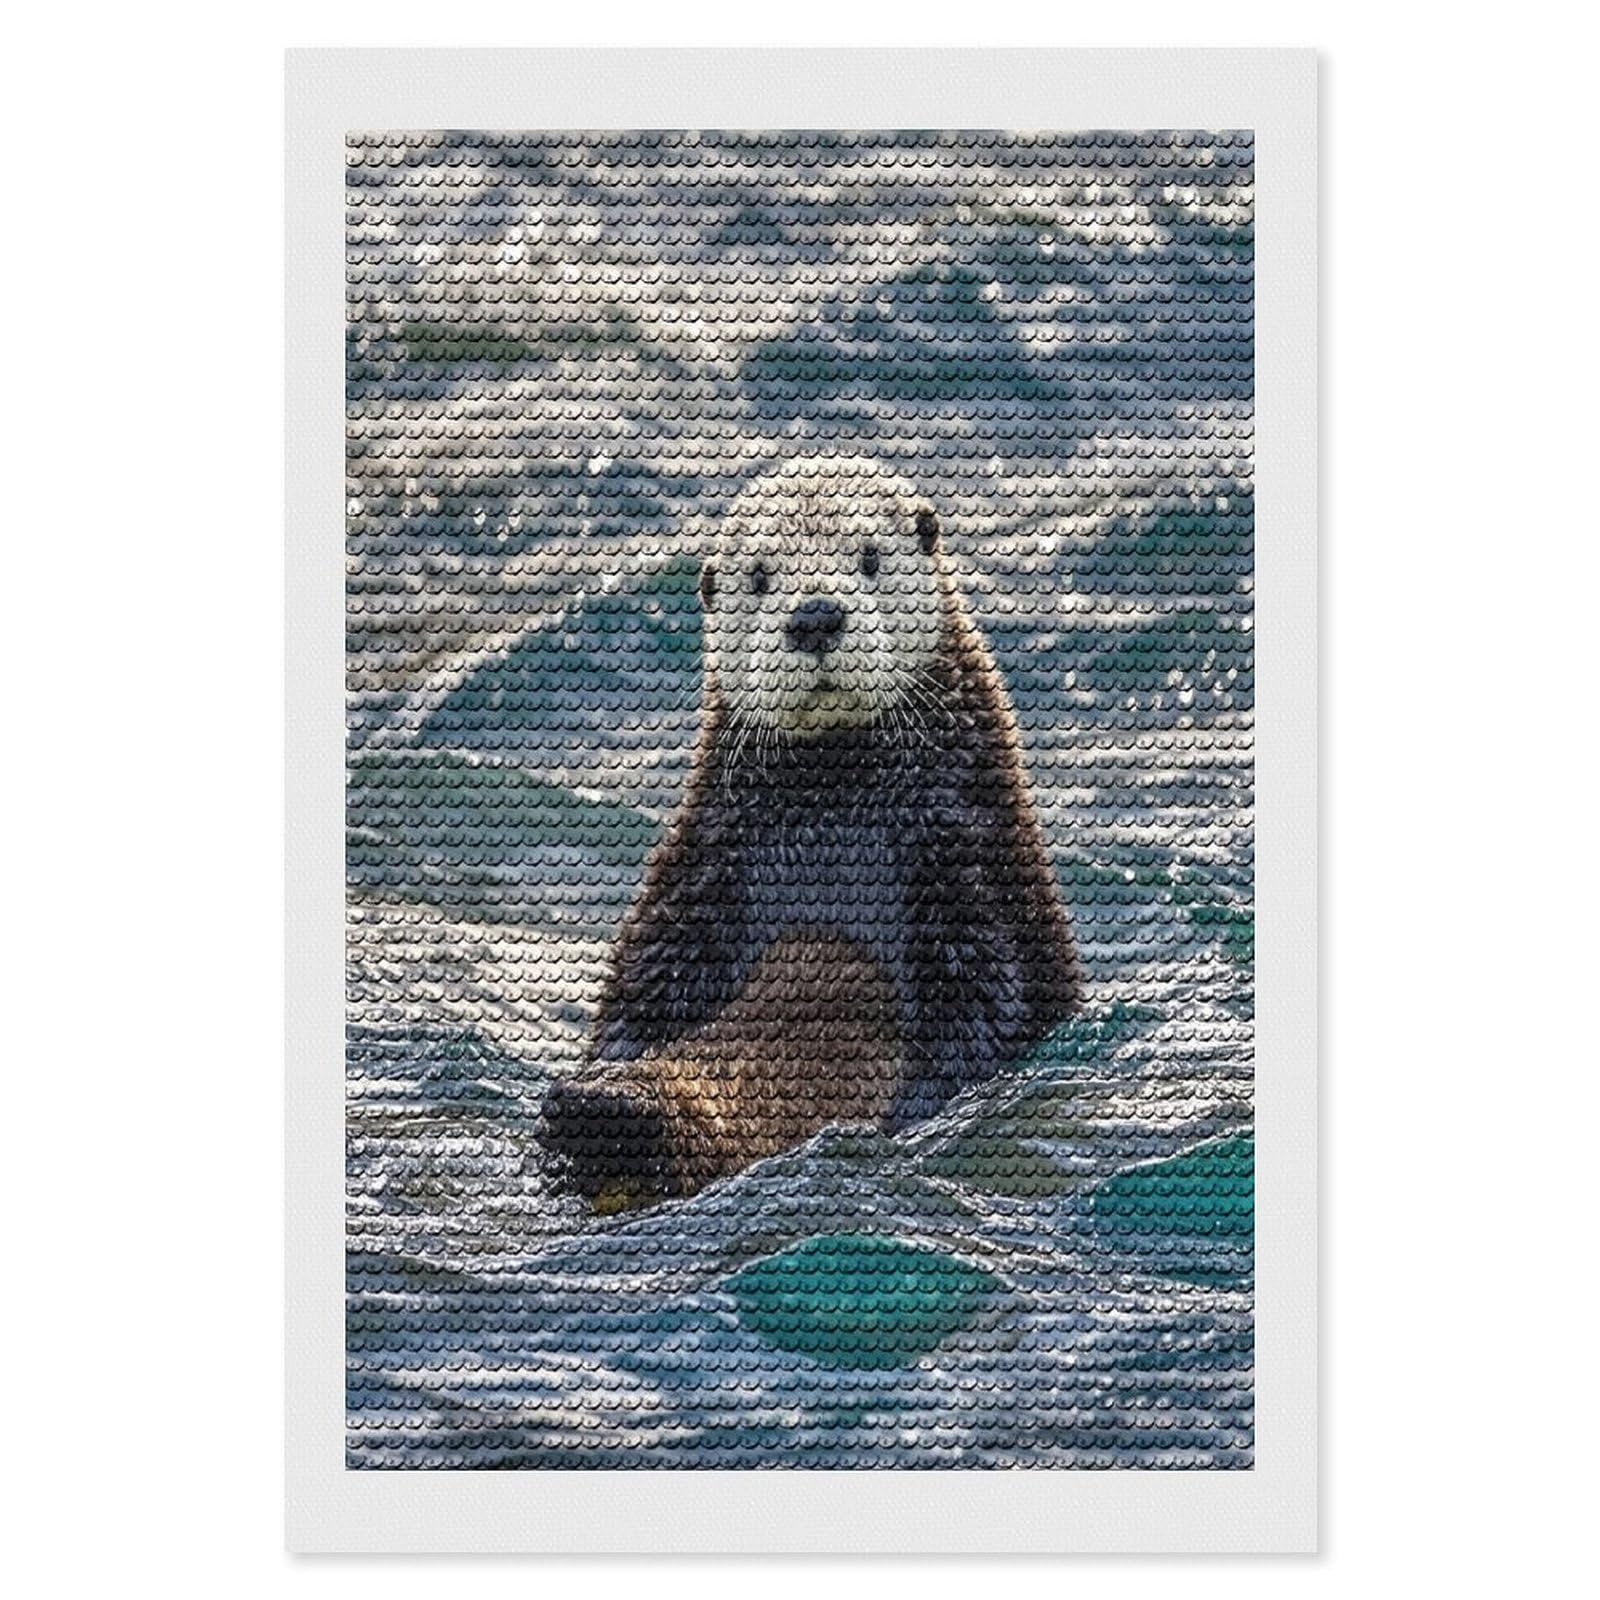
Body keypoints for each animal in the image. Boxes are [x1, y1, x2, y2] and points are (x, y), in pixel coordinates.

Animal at [539, 456, 1080, 1202]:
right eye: (761, 577)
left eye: (871, 558)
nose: (816, 617)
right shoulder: (701, 871)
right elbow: (643, 992)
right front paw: (601, 1085)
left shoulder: (969, 861)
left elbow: (983, 1007)